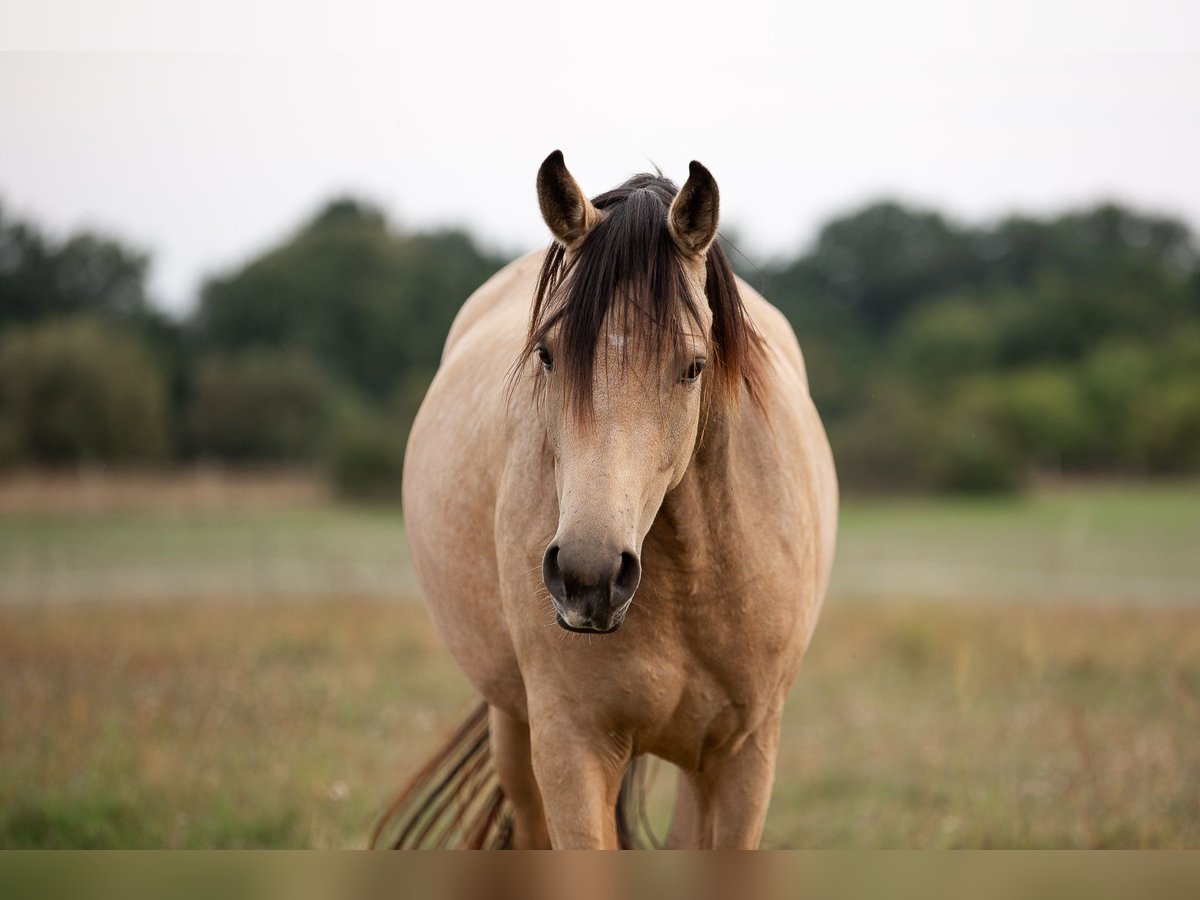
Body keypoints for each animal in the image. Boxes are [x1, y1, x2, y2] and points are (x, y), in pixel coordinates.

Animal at [372, 151, 835, 849]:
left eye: (694, 366)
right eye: (547, 354)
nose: (587, 578)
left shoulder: (745, 755)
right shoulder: (573, 746)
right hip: (514, 727)